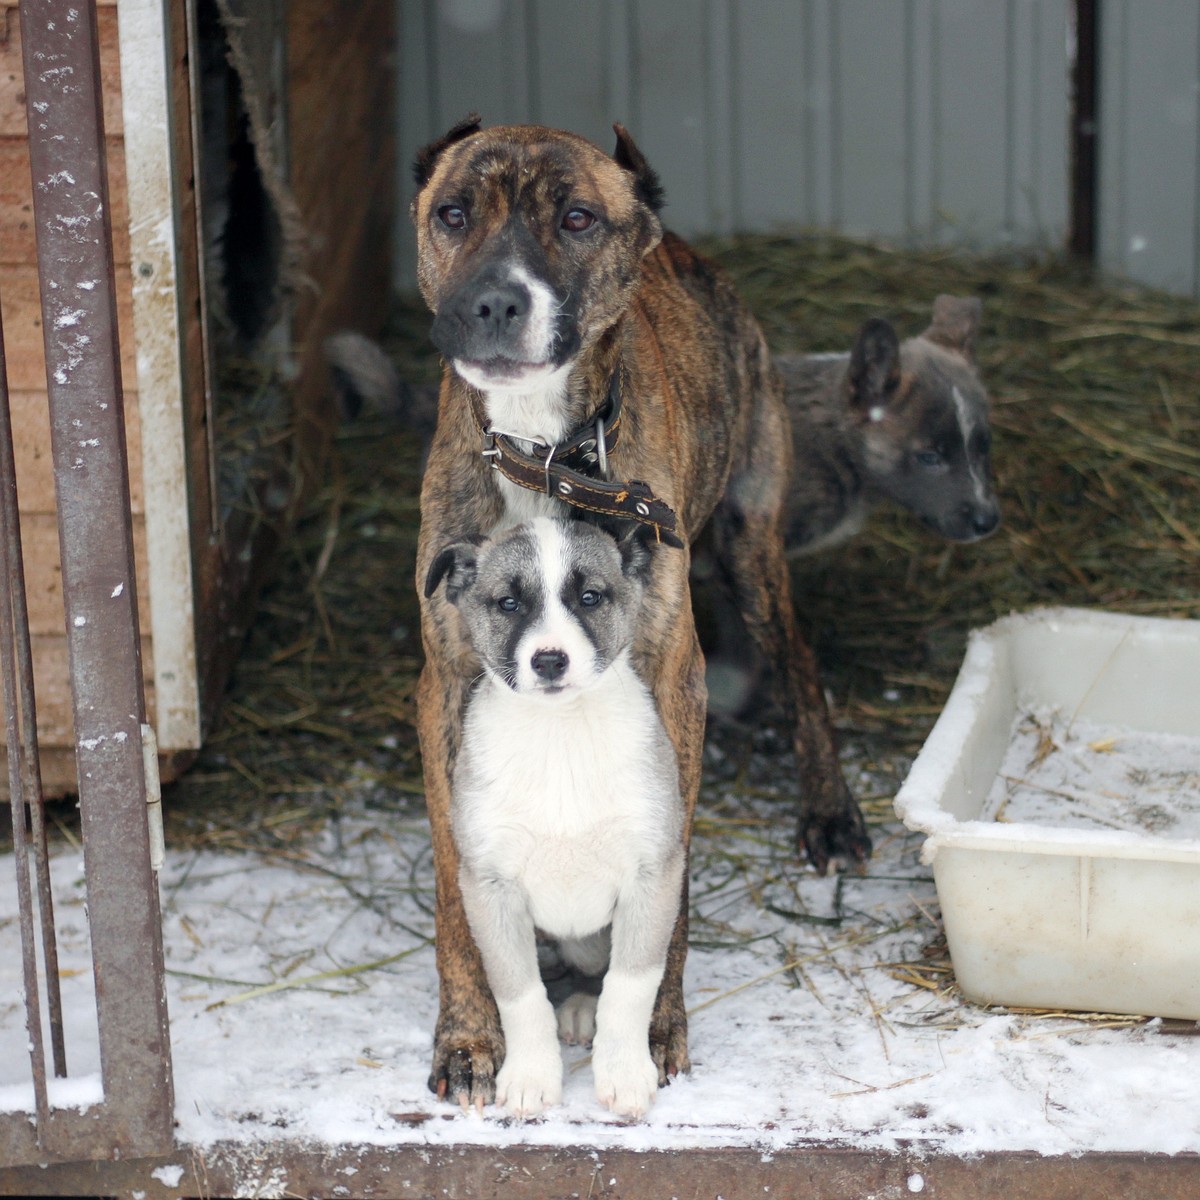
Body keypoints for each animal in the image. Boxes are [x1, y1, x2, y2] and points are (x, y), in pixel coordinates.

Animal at [422, 518, 686, 1123]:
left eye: (589, 598)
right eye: (509, 603)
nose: (549, 661)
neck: (559, 732)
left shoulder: (654, 875)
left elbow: (631, 985)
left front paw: (624, 1074)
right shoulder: (489, 887)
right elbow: (520, 994)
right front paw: (530, 1078)